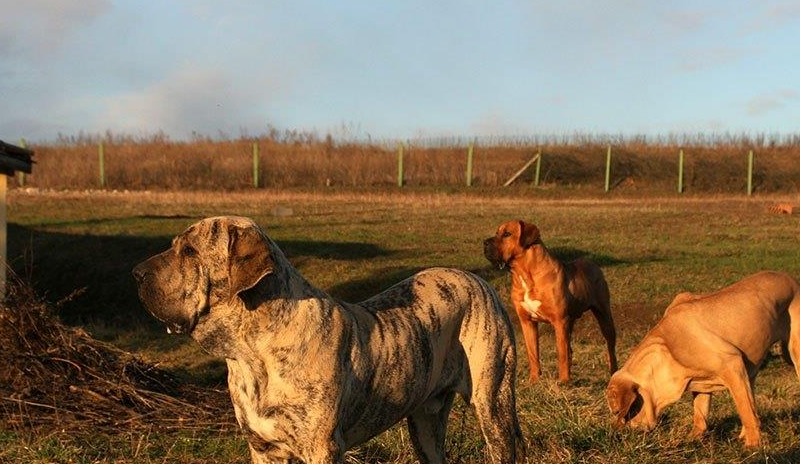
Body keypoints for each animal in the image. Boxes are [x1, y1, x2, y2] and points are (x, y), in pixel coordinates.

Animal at [134, 218, 520, 464]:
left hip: (493, 403)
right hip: (425, 421)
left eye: (190, 252)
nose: (136, 273)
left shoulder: (321, 448)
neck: (253, 354)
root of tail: (477, 280)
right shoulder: (263, 449)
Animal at [482, 221, 620, 384]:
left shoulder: (559, 321)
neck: (525, 274)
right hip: (571, 321)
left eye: (507, 234)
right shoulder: (527, 322)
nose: (485, 242)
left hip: (603, 315)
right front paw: (534, 380)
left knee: (609, 346)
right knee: (569, 348)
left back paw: (613, 372)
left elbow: (561, 353)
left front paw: (563, 381)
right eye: (497, 233)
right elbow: (533, 353)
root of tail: (593, 264)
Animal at [608, 270, 800, 448]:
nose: (617, 434)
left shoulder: (733, 366)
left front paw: (753, 445)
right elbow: (700, 413)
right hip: (750, 373)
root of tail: (794, 280)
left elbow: (747, 413)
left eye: (619, 412)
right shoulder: (702, 383)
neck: (667, 347)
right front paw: (694, 438)